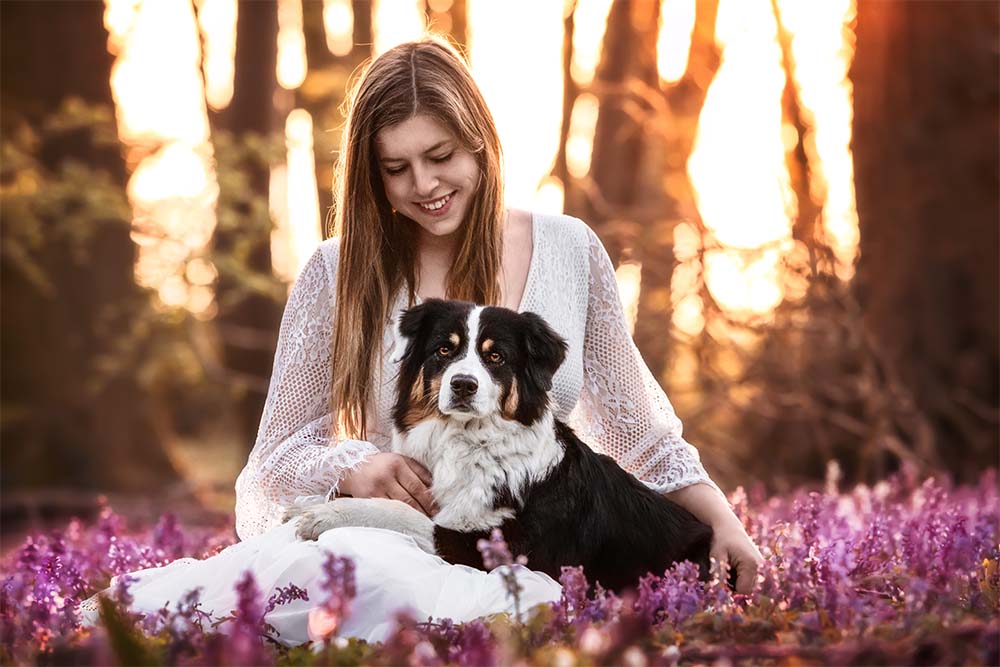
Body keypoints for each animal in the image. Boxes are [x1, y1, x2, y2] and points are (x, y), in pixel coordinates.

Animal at [286, 300, 716, 592]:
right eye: (445, 349)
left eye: (495, 356)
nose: (463, 385)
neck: (470, 442)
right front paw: (306, 504)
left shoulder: (490, 547)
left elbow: (399, 512)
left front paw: (325, 515)